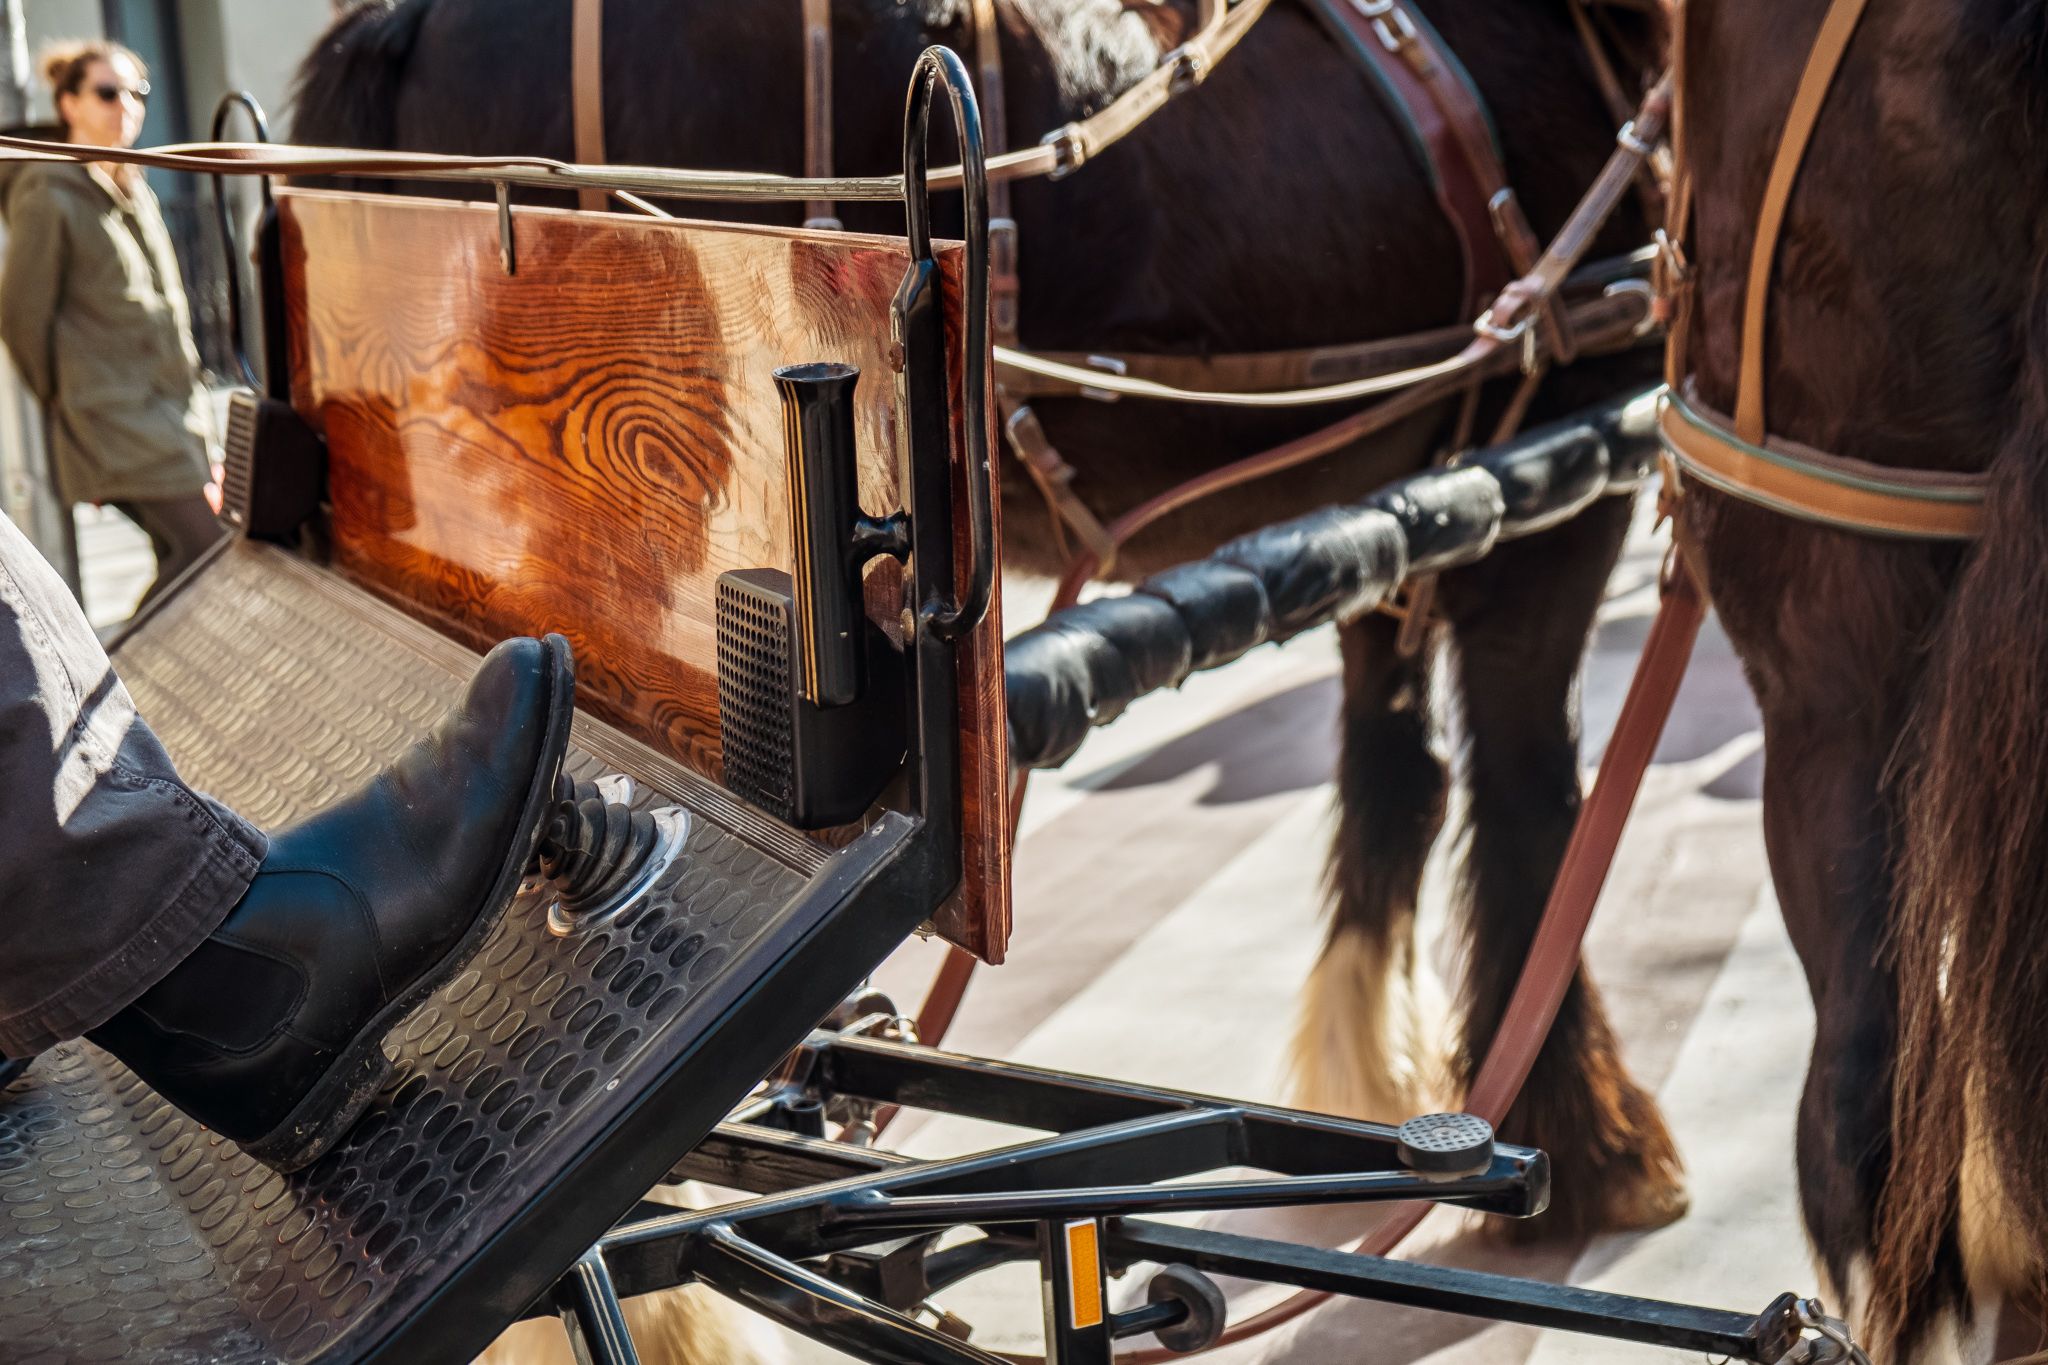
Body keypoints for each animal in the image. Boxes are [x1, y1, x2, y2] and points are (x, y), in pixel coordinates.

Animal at [292, 0, 1679, 1260]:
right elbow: (1528, 794)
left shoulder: (1404, 468)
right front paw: (1589, 1142)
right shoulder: (1552, 462)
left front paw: (1370, 1075)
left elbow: (1396, 773)